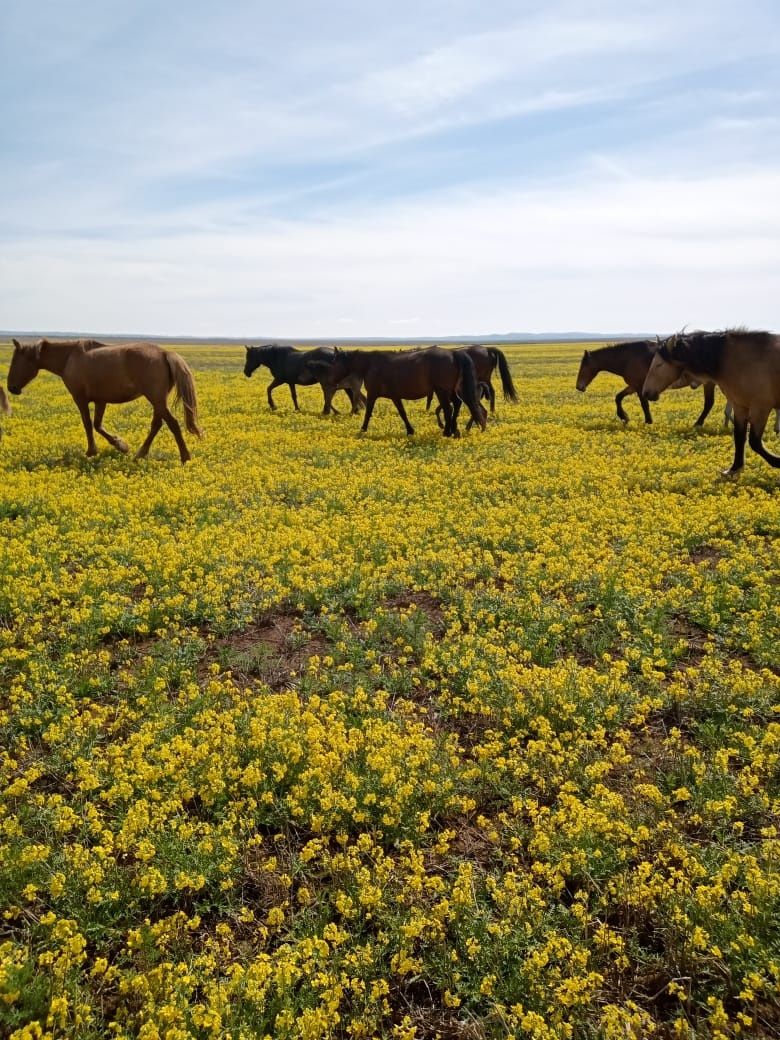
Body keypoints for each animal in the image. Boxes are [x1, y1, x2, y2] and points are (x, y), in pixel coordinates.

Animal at [7, 339, 202, 461]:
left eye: (15, 361)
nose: (11, 387)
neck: (69, 358)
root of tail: (165, 353)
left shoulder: (80, 398)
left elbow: (88, 424)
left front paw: (92, 451)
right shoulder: (101, 400)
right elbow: (97, 425)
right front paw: (121, 445)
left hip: (156, 399)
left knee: (172, 423)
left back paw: (185, 458)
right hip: (158, 401)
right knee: (157, 425)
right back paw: (140, 454)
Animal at [314, 345, 486, 434]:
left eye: (334, 361)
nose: (329, 381)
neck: (370, 364)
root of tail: (453, 353)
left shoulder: (373, 394)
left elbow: (368, 412)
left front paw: (363, 429)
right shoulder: (395, 396)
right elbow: (402, 413)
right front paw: (410, 430)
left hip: (442, 390)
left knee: (448, 408)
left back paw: (447, 432)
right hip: (449, 390)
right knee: (457, 404)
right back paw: (454, 431)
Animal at [574, 339, 715, 424]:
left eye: (584, 366)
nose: (579, 387)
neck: (627, 358)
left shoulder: (639, 386)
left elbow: (644, 404)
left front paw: (648, 421)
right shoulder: (633, 385)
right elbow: (618, 397)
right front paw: (624, 417)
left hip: (709, 383)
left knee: (708, 403)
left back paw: (698, 423)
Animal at [644, 328, 780, 476]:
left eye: (659, 364)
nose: (646, 392)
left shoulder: (760, 408)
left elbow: (754, 442)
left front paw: (777, 462)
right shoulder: (740, 406)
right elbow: (739, 436)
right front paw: (734, 469)